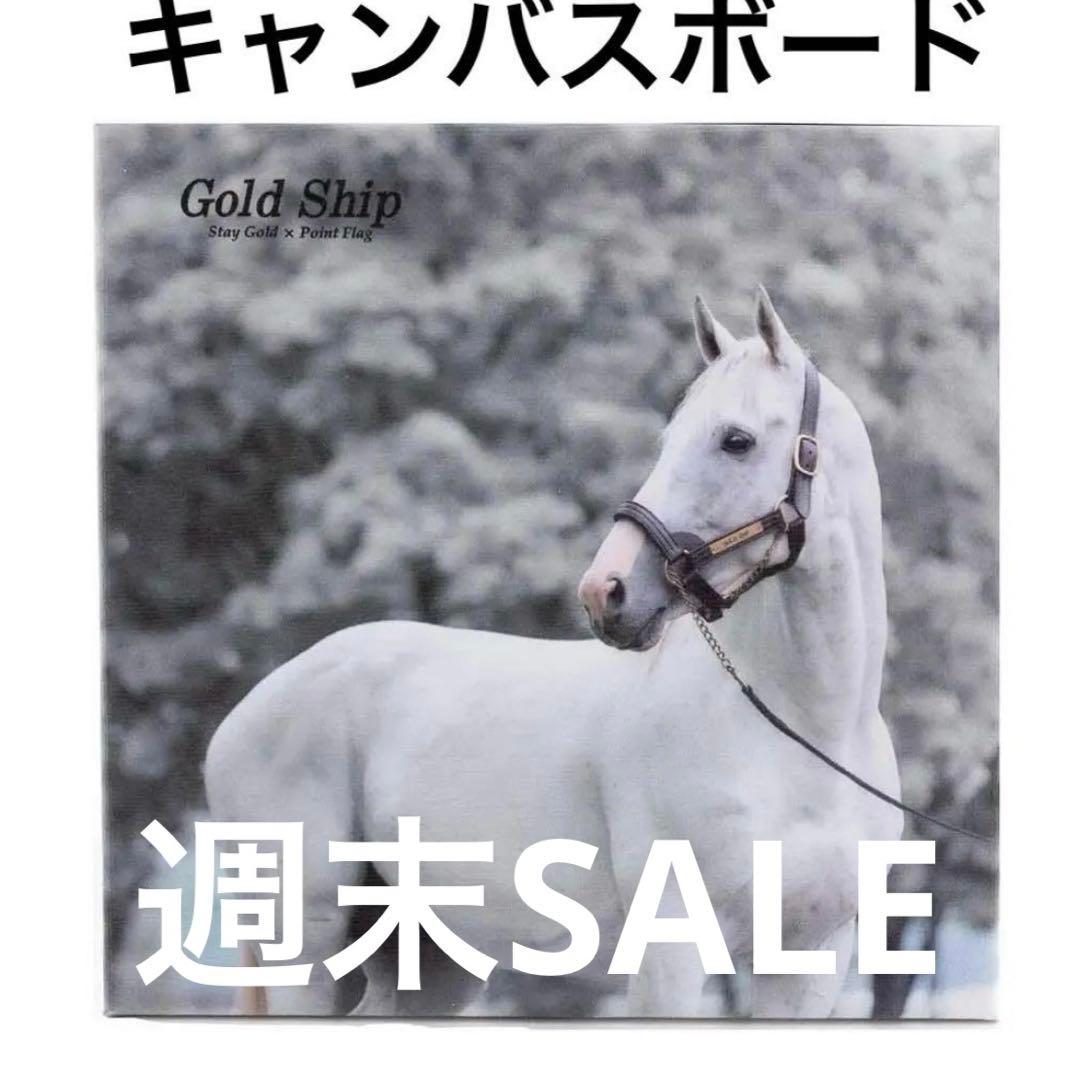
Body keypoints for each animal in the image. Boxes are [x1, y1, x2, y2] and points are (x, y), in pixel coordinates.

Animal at [204, 287, 903, 1018]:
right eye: (668, 440)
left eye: (735, 440)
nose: (605, 591)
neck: (802, 735)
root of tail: (249, 711)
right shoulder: (671, 953)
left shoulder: (808, 959)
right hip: (306, 957)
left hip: (425, 960)